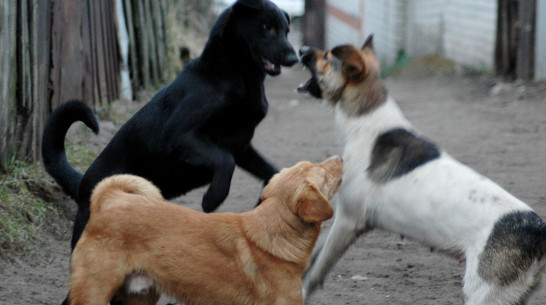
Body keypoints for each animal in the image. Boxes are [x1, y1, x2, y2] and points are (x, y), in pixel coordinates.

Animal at [42, 0, 296, 252]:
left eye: (286, 30)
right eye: (266, 27)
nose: (295, 58)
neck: (232, 73)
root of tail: (83, 184)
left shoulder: (242, 147)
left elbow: (271, 172)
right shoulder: (181, 137)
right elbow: (224, 161)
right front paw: (213, 197)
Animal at [68, 156, 340, 304]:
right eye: (323, 172)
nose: (340, 158)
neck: (277, 230)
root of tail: (108, 199)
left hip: (140, 296)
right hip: (94, 292)